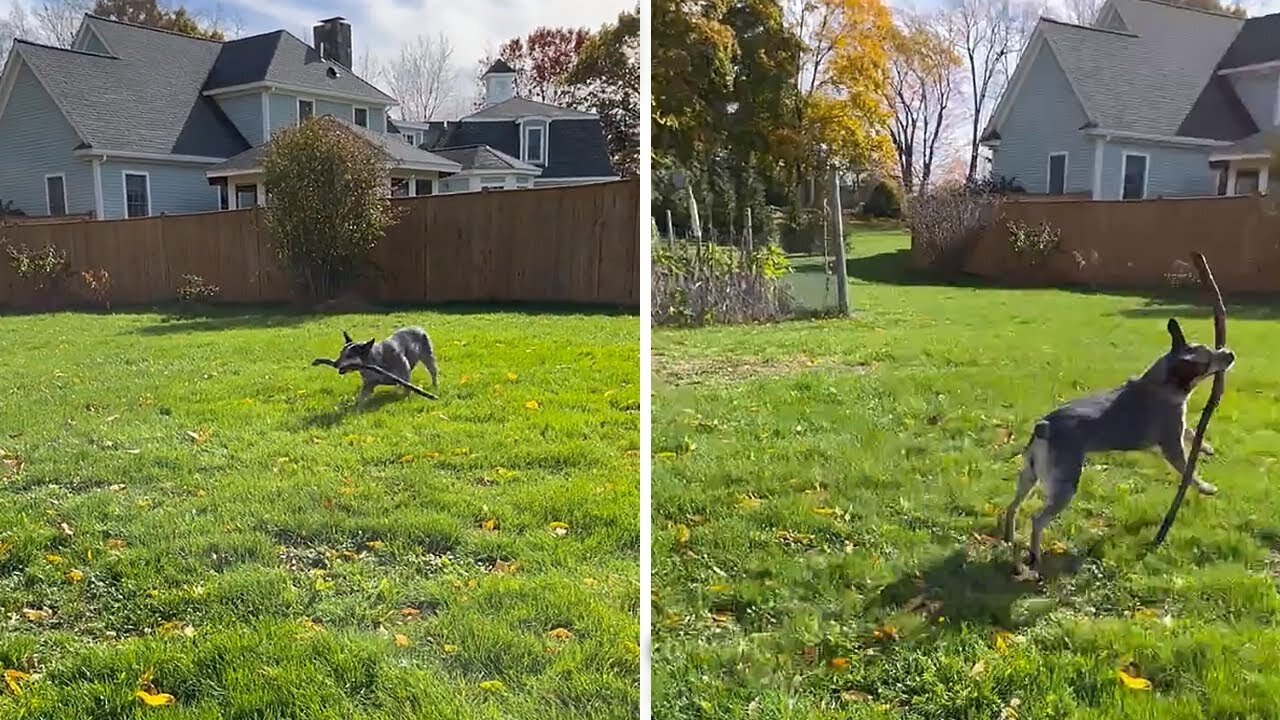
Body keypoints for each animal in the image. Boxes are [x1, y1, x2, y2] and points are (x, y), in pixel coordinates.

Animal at [1003, 316, 1233, 573]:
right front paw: (1205, 487)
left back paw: (1009, 537)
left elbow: (1191, 433)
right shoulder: (1170, 444)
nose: (1230, 353)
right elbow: (1189, 470)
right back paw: (1035, 557)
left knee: (1012, 507)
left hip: (1028, 476)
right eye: (1207, 358)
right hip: (1064, 487)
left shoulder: (1177, 430)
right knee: (1037, 520)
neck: (1163, 381)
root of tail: (1045, 426)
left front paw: (1206, 447)